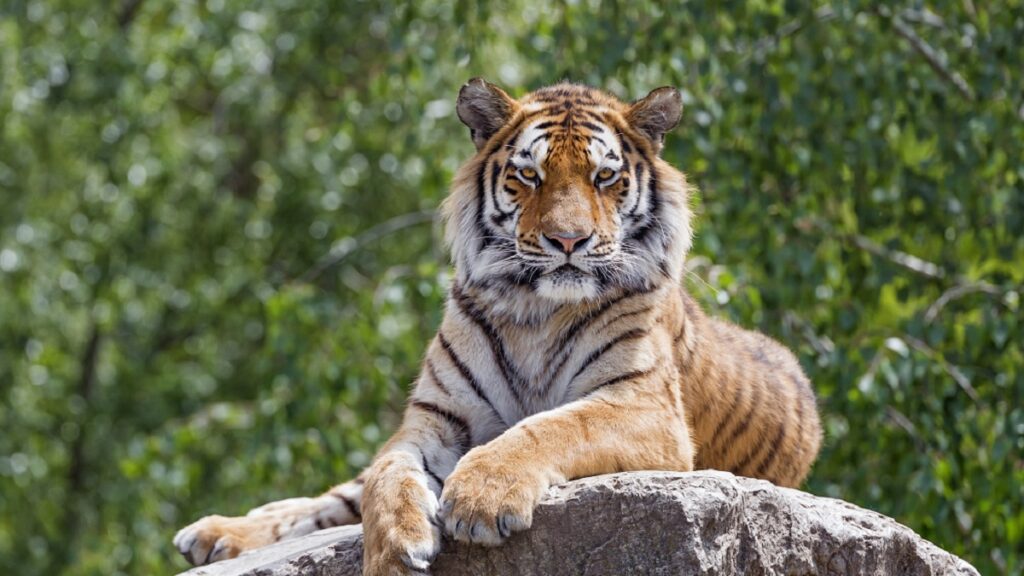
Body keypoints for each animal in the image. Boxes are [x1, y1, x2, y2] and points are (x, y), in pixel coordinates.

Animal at [173, 79, 822, 576]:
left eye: (604, 178)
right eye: (529, 176)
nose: (568, 241)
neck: (536, 310)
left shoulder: (644, 407)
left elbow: (550, 427)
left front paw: (480, 497)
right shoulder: (433, 419)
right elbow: (386, 476)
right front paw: (392, 552)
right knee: (332, 497)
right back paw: (214, 533)